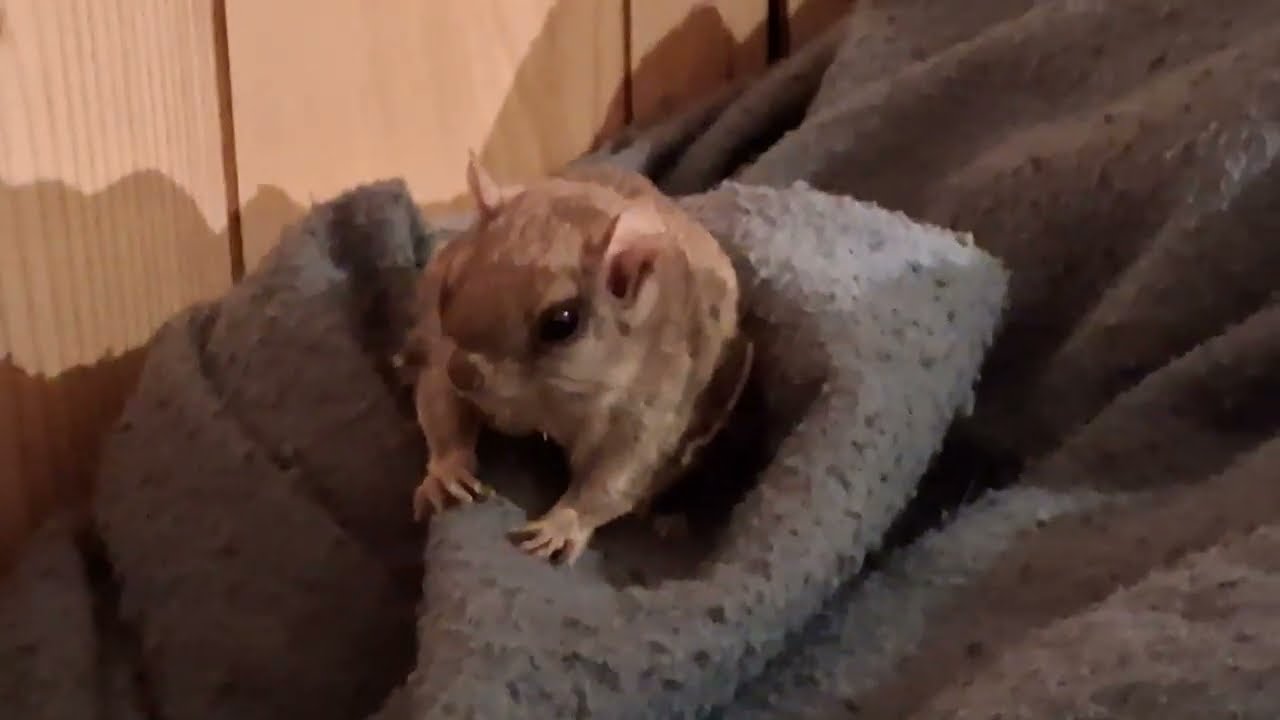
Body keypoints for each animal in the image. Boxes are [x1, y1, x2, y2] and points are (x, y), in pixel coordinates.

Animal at [402, 153, 753, 566]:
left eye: (561, 323)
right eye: (449, 286)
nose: (462, 373)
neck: (545, 400)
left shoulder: (649, 412)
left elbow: (612, 481)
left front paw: (561, 525)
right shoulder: (443, 354)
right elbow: (441, 408)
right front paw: (447, 471)